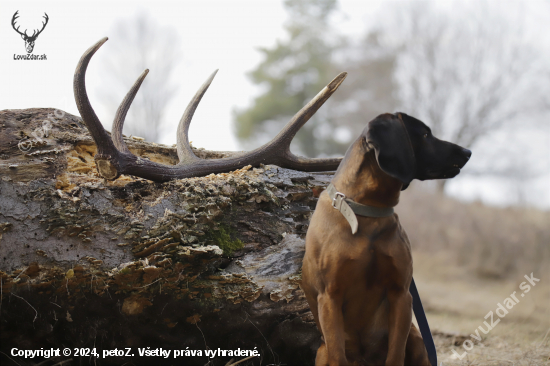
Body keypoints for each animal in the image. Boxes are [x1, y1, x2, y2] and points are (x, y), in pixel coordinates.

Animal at [304, 113, 472, 364]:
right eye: (425, 134)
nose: (467, 151)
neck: (368, 211)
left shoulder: (401, 294)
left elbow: (395, 354)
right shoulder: (330, 296)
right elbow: (338, 355)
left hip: (417, 340)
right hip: (322, 352)